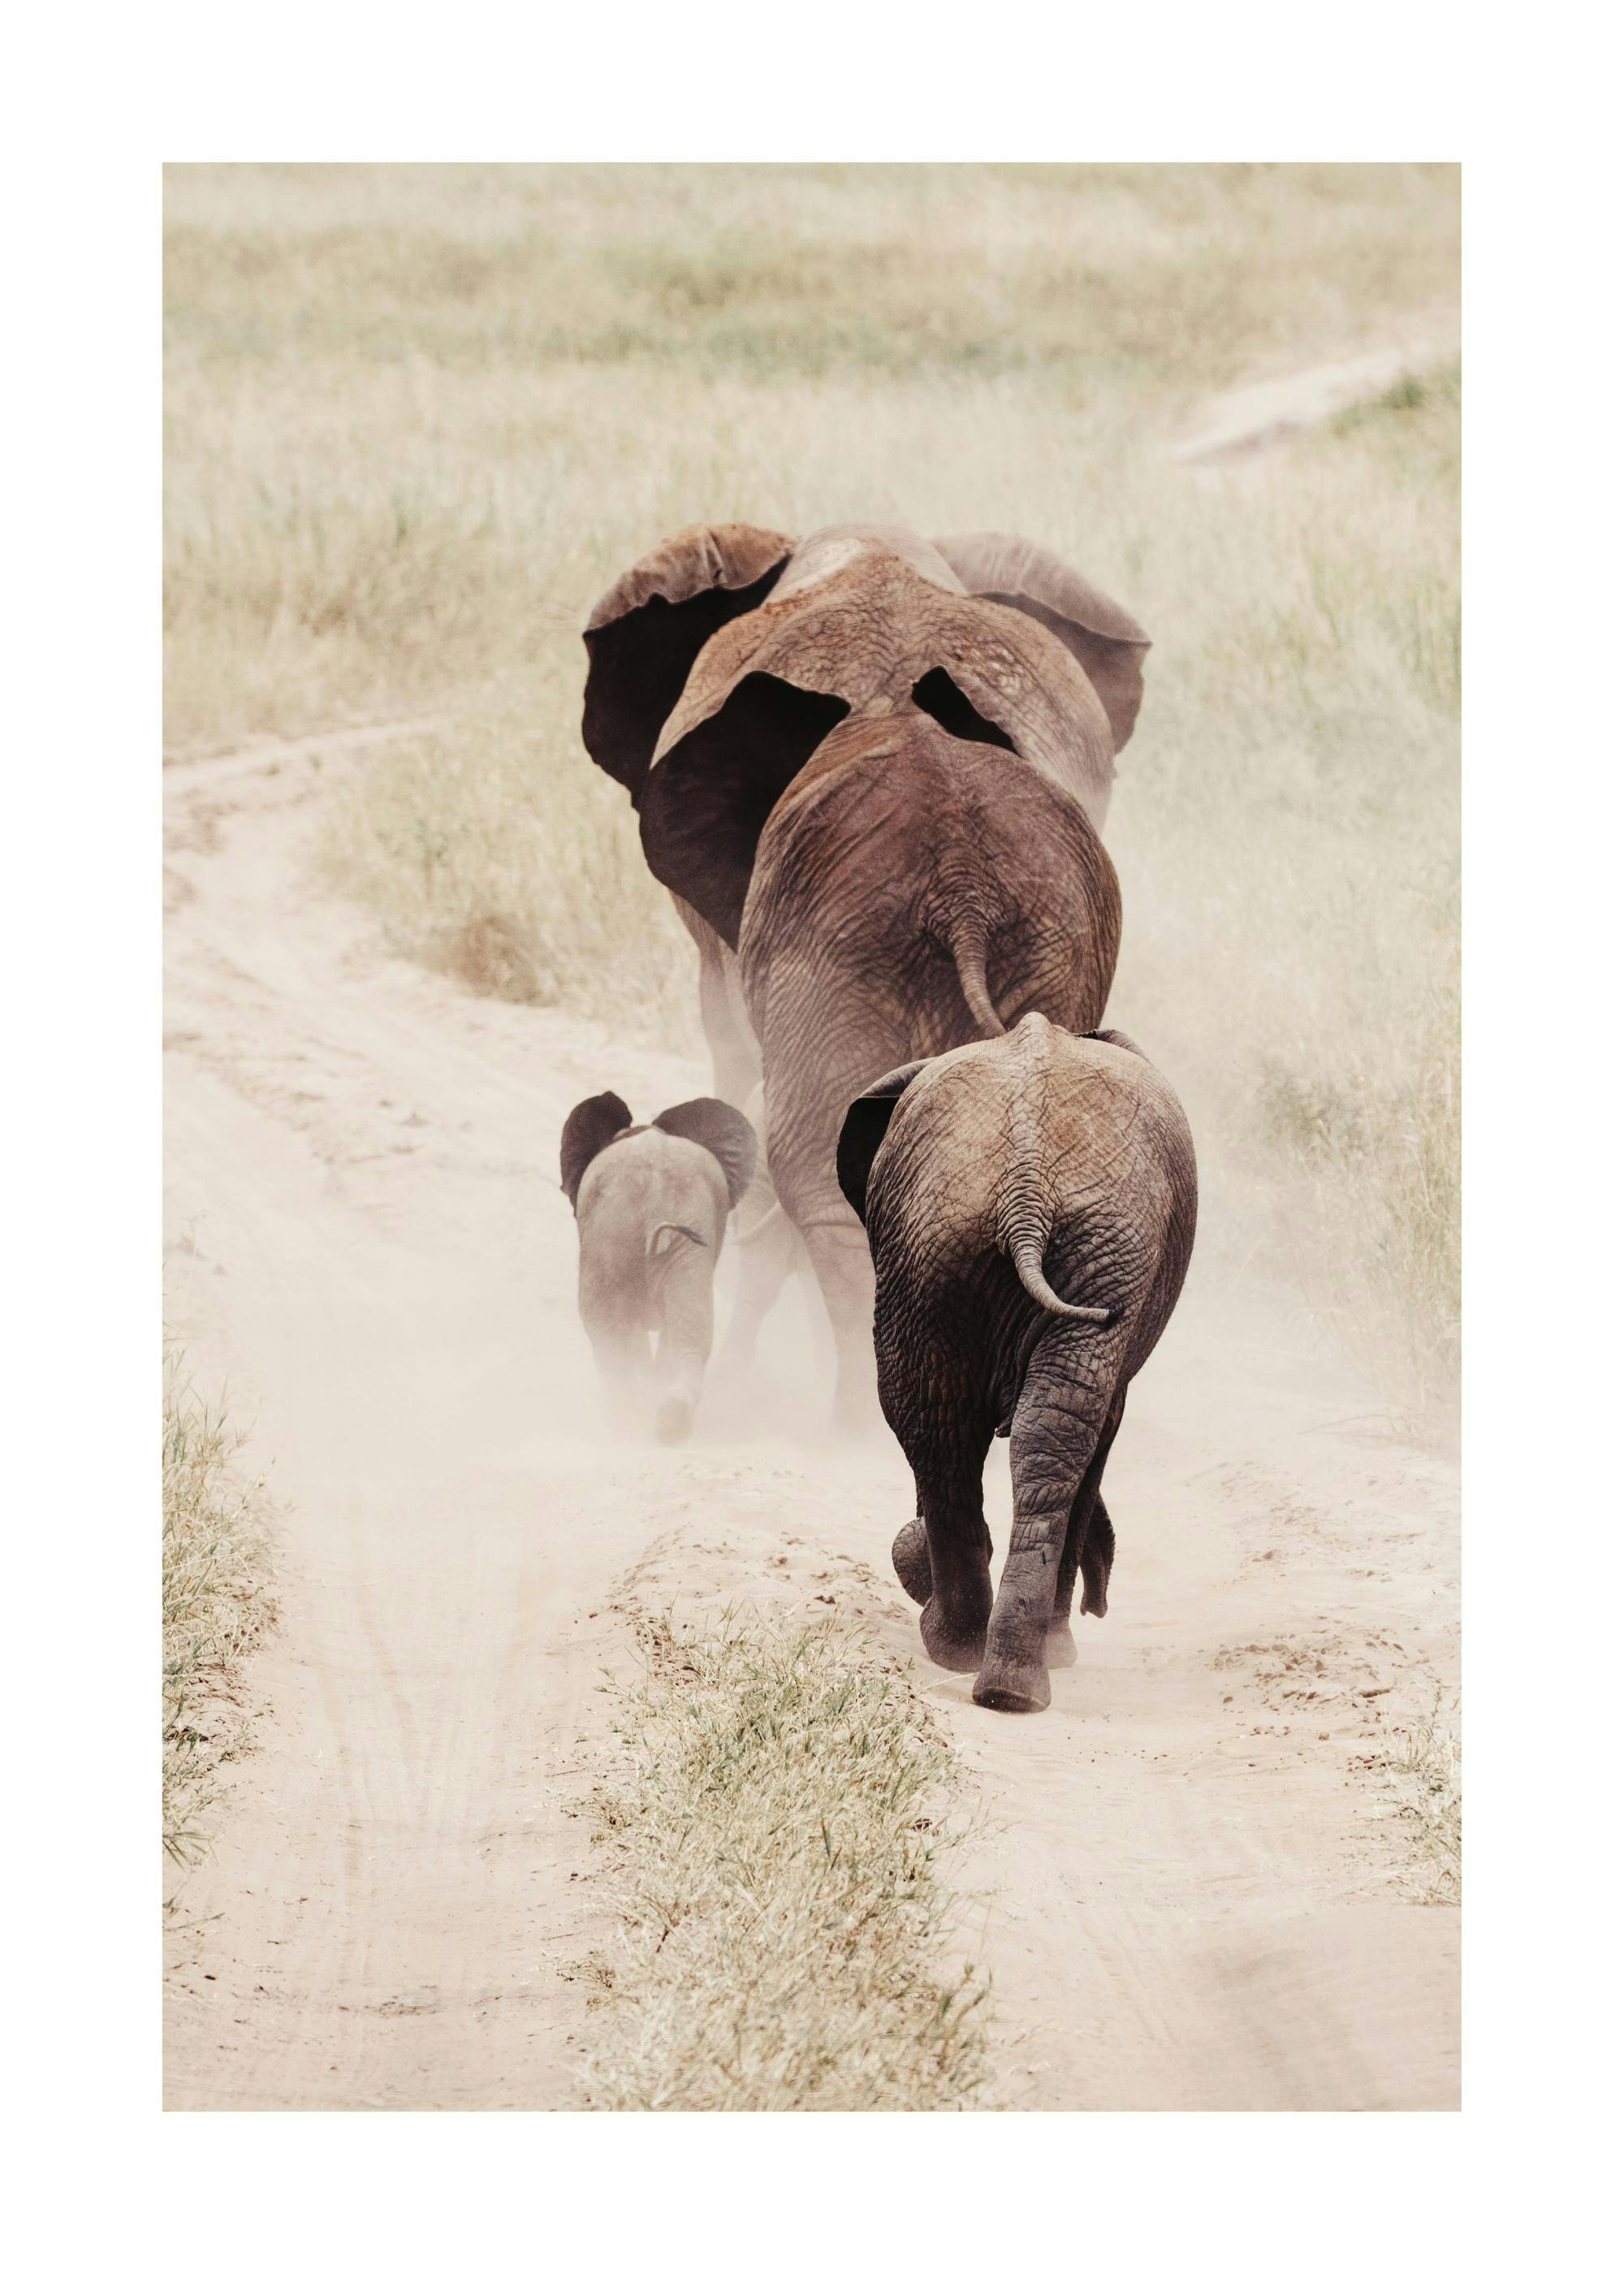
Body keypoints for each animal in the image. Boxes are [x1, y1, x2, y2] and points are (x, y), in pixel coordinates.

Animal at [559, 1089, 756, 1443]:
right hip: (652, 1238)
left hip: (616, 1234)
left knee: (608, 1330)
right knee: (688, 1330)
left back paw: (628, 1416)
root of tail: (656, 1197)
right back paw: (665, 1419)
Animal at [836, 1015, 1197, 1713]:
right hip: (978, 1243)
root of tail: (1025, 1195)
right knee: (998, 1426)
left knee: (959, 1424)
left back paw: (990, 1671)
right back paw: (996, 1669)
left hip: (963, 1244)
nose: (1100, 1604)